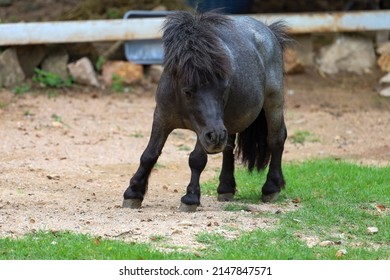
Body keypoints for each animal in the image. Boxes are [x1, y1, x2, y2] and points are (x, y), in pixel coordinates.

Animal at [122, 10, 290, 212]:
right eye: (188, 91)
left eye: (224, 88)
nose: (216, 137)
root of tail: (269, 31)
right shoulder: (162, 117)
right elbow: (149, 154)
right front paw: (133, 193)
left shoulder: (204, 131)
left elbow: (196, 159)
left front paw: (190, 198)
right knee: (228, 147)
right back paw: (226, 188)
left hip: (273, 102)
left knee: (276, 138)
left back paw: (271, 187)